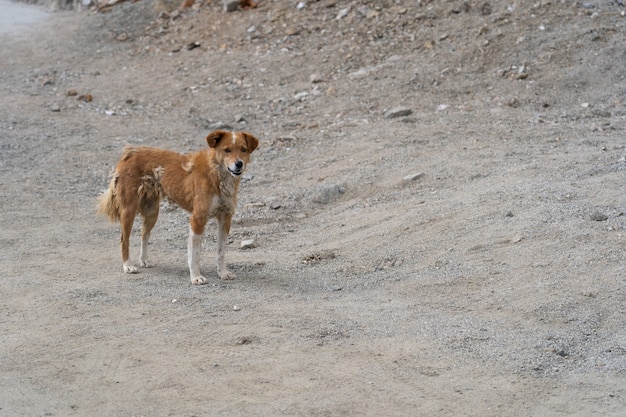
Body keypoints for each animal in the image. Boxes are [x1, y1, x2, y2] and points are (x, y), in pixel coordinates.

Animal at [96, 129, 258, 282]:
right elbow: (195, 254)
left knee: (144, 235)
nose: (239, 164)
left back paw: (144, 260)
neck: (217, 173)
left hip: (152, 212)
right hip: (128, 210)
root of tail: (130, 152)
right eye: (227, 150)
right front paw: (196, 277)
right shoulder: (197, 219)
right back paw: (128, 266)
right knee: (124, 239)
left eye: (243, 149)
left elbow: (221, 251)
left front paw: (222, 273)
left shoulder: (225, 218)